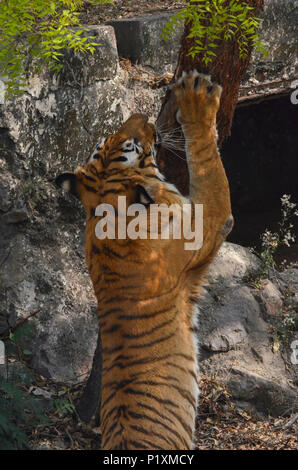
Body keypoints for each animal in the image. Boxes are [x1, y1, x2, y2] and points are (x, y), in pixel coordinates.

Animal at [55, 71, 233, 450]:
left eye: (108, 141)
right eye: (134, 147)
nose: (142, 115)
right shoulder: (209, 222)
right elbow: (206, 161)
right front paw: (196, 96)